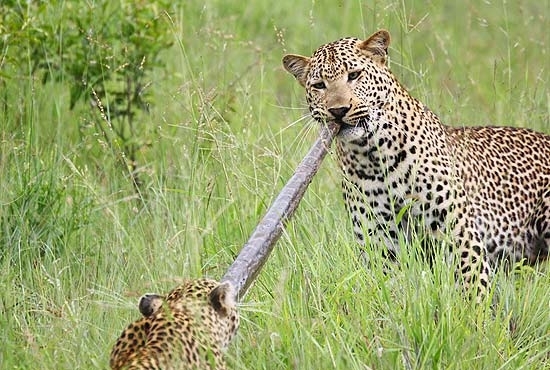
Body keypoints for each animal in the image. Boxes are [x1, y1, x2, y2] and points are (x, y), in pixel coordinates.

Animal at [284, 29, 550, 298]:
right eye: (319, 85)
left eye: (354, 75)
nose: (338, 110)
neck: (372, 157)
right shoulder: (380, 244)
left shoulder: (458, 231)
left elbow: (473, 286)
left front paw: (477, 309)